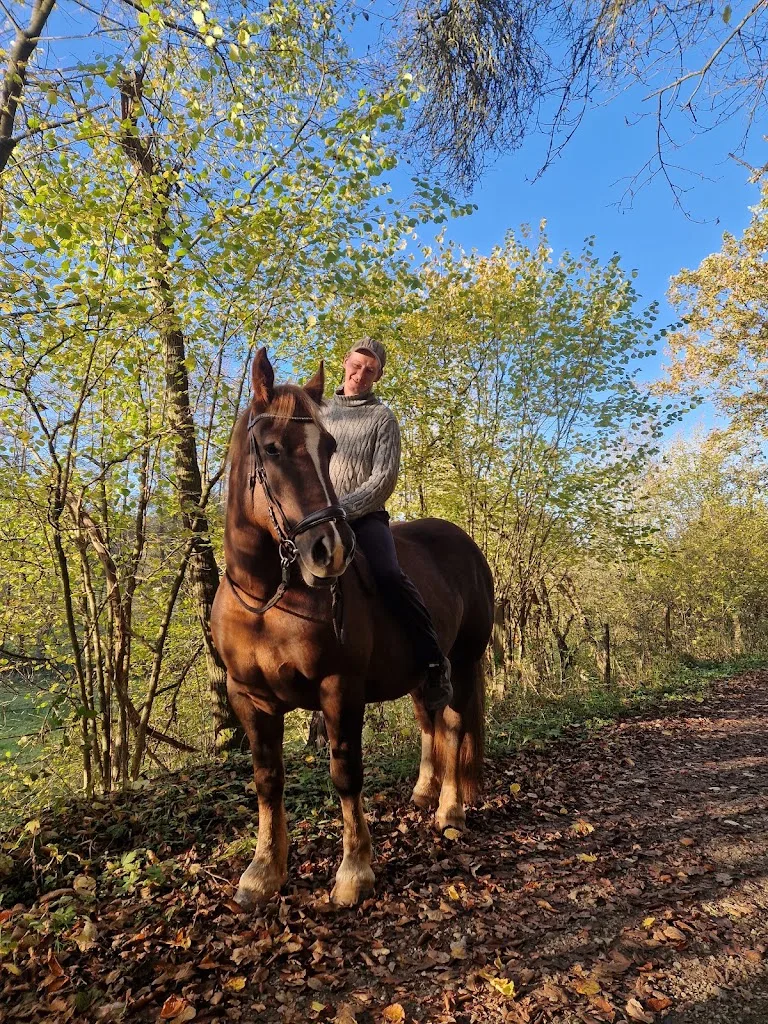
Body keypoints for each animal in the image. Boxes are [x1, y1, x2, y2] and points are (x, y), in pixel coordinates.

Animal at [211, 349, 494, 908]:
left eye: (328, 448)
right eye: (271, 449)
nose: (330, 550)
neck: (266, 599)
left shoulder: (339, 689)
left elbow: (345, 774)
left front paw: (355, 870)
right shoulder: (248, 697)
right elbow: (267, 779)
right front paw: (263, 871)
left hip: (464, 661)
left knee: (453, 726)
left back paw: (450, 811)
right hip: (421, 673)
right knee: (430, 720)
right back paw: (426, 791)